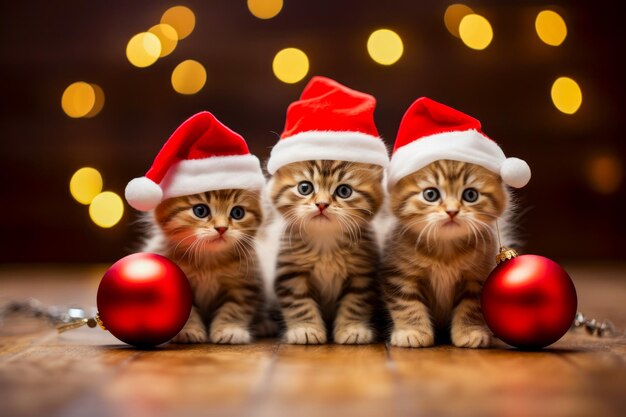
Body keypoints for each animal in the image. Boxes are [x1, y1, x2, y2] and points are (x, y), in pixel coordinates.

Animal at [142, 189, 266, 344]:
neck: (208, 262)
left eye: (238, 213)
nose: (222, 228)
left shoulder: (243, 284)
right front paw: (189, 330)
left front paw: (230, 329)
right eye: (200, 211)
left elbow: (235, 308)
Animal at [268, 159, 386, 344]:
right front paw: (306, 329)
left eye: (344, 191)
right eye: (305, 188)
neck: (325, 241)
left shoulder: (362, 274)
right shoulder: (291, 273)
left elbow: (355, 303)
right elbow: (299, 303)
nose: (322, 204)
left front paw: (352, 329)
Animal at [380, 161, 508, 346]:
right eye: (430, 194)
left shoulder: (477, 277)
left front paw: (469, 332)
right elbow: (406, 304)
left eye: (471, 195)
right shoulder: (400, 274)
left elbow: (471, 306)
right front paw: (412, 331)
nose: (452, 211)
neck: (445, 250)